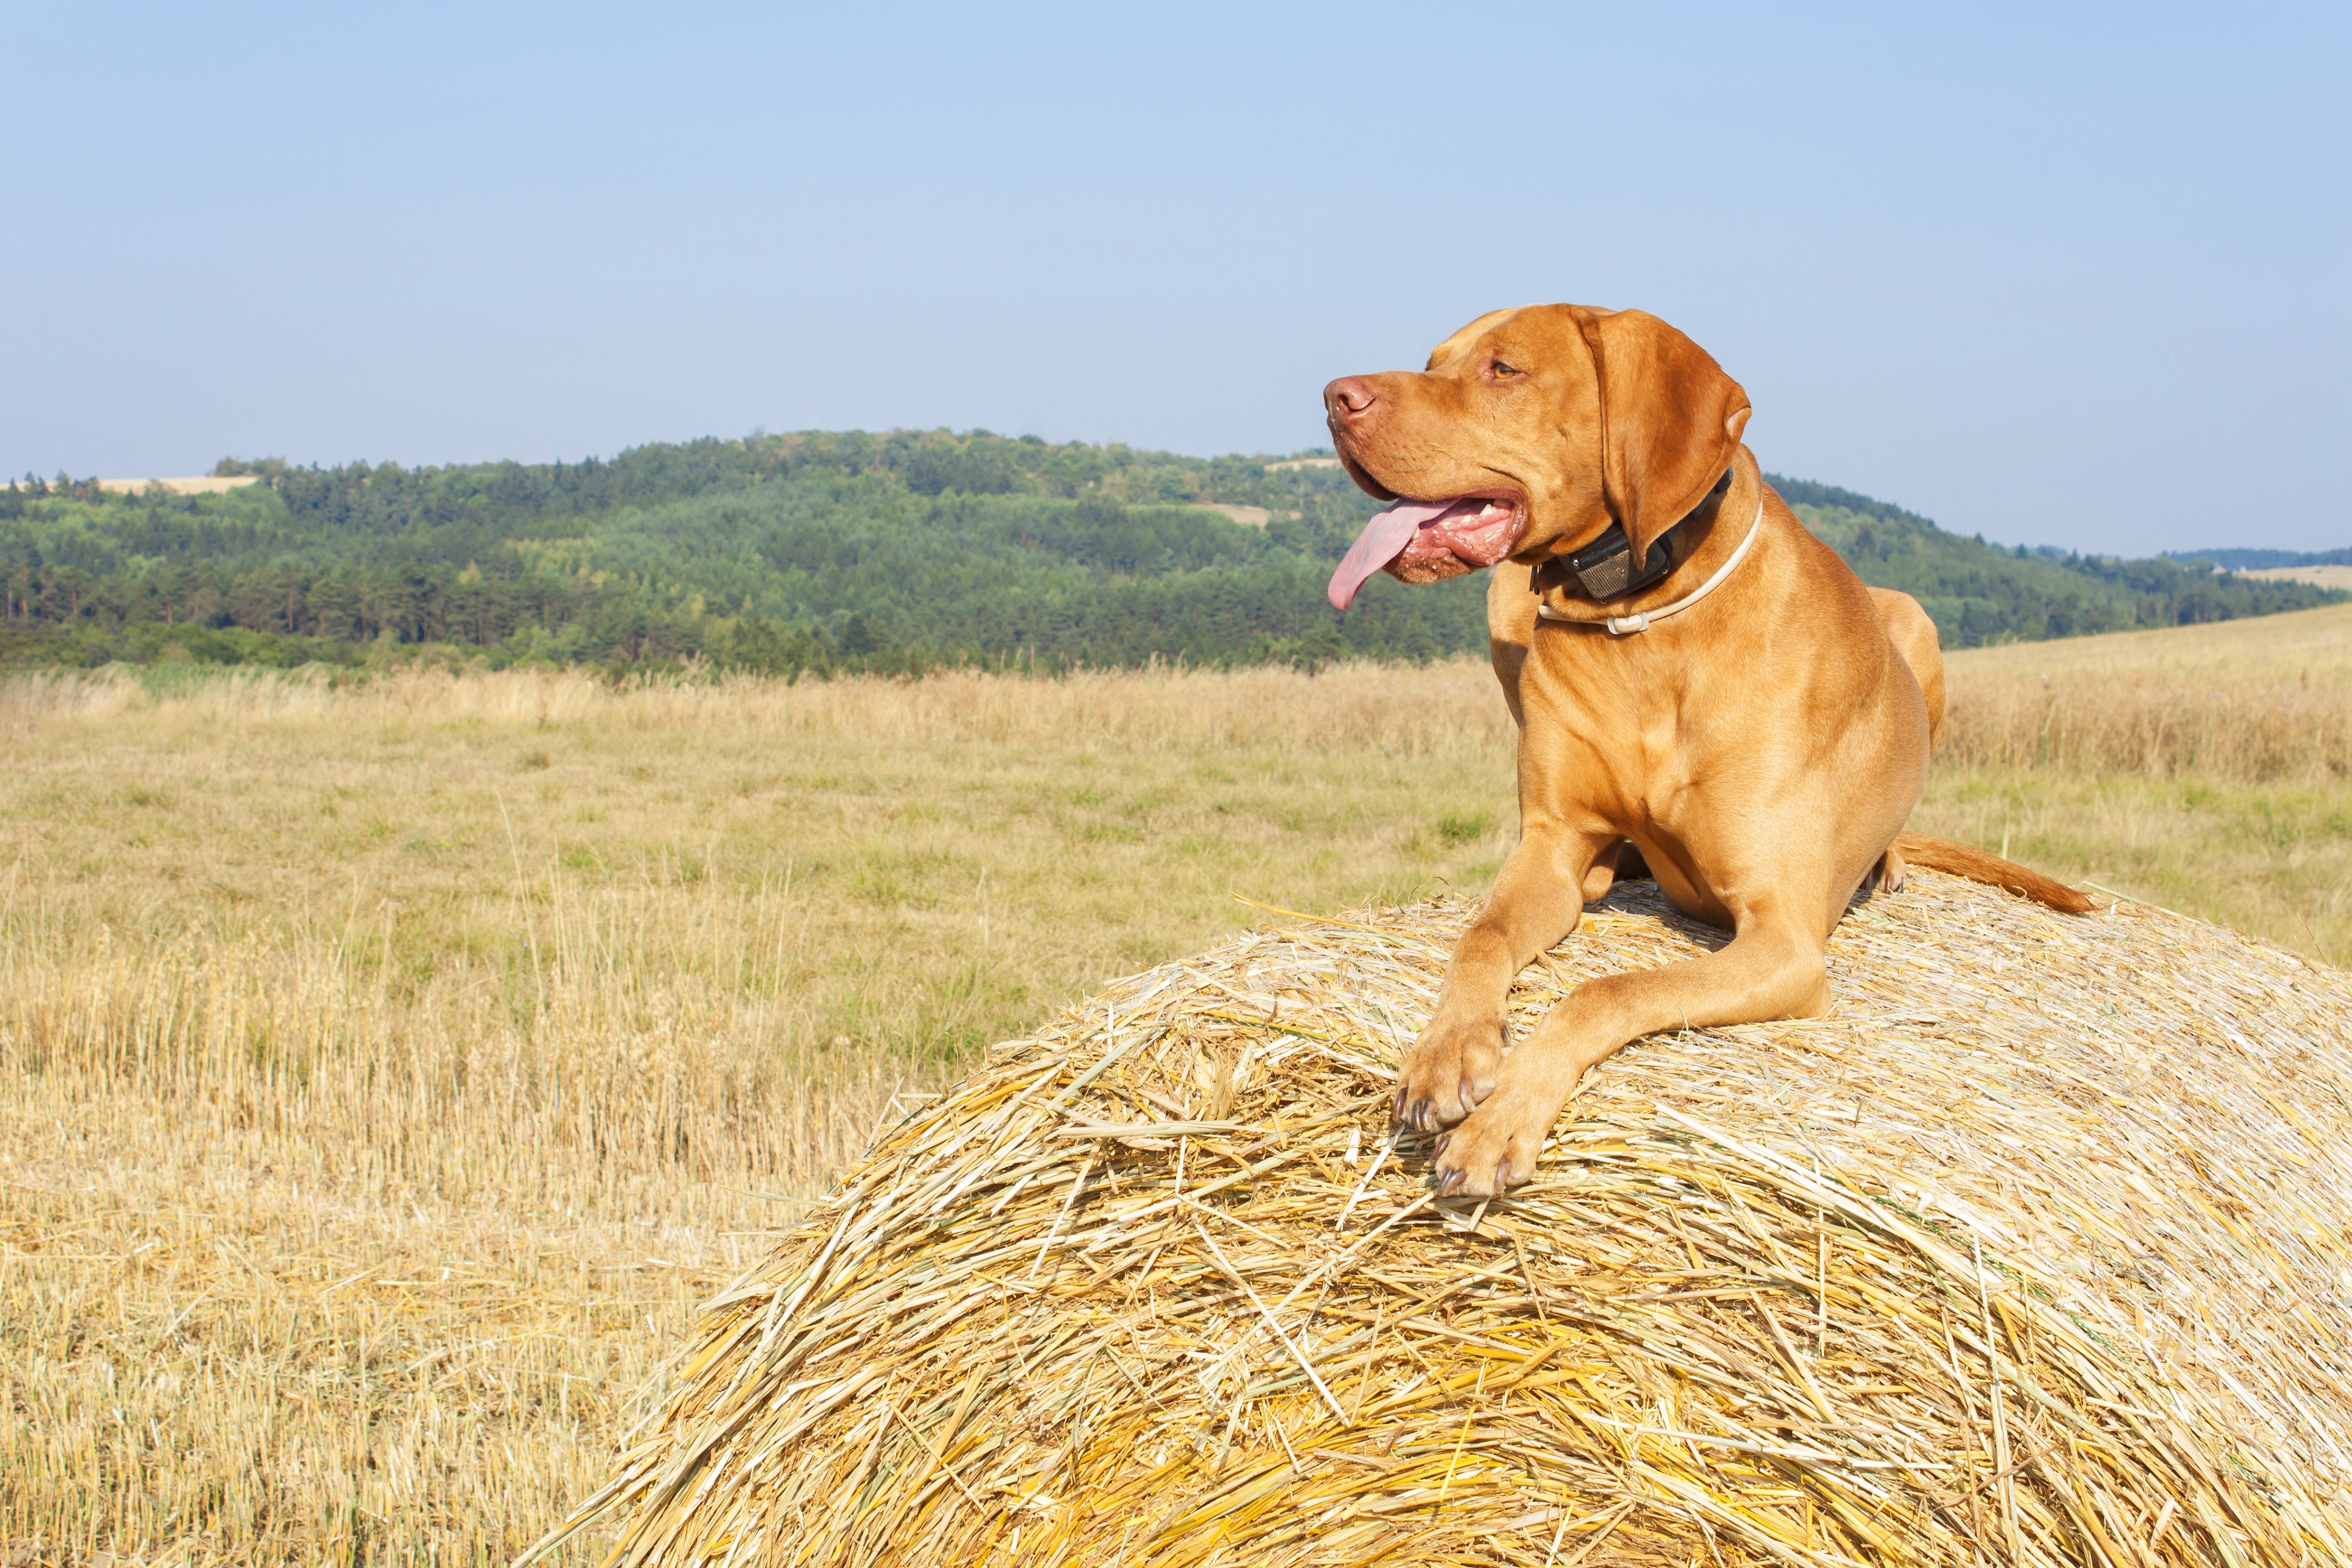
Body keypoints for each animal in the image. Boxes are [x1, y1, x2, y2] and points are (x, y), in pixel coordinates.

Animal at [1327, 301, 2098, 1194]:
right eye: (1433, 362)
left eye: (1504, 370)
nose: (1334, 397)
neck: (1640, 620)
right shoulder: (1553, 850)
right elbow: (1482, 936)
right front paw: (1448, 1052)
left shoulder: (1784, 942)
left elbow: (1608, 992)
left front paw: (1504, 1118)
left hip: (1915, 621)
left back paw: (1889, 862)